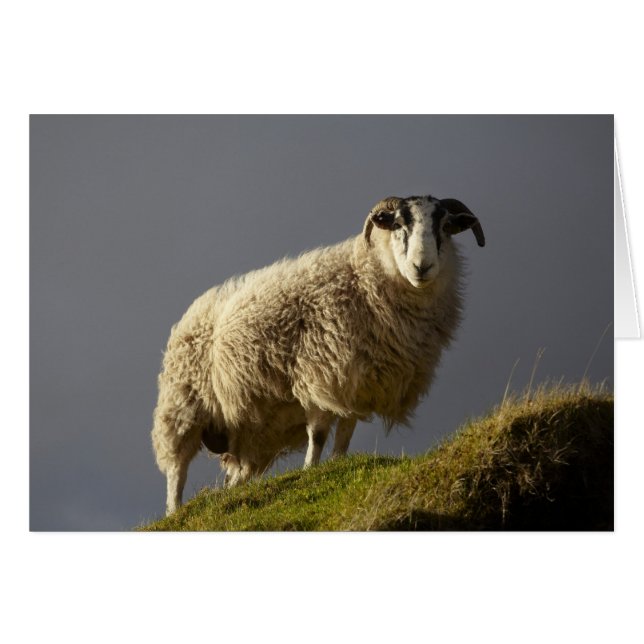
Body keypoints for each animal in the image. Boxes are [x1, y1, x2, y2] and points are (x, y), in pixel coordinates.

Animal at [151, 194, 485, 515]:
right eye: (399, 224)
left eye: (445, 226)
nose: (421, 267)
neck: (365, 276)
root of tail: (188, 317)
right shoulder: (318, 373)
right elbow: (319, 433)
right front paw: (310, 470)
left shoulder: (357, 384)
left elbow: (346, 432)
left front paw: (338, 464)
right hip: (182, 408)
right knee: (177, 471)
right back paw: (175, 512)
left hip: (252, 434)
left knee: (236, 475)